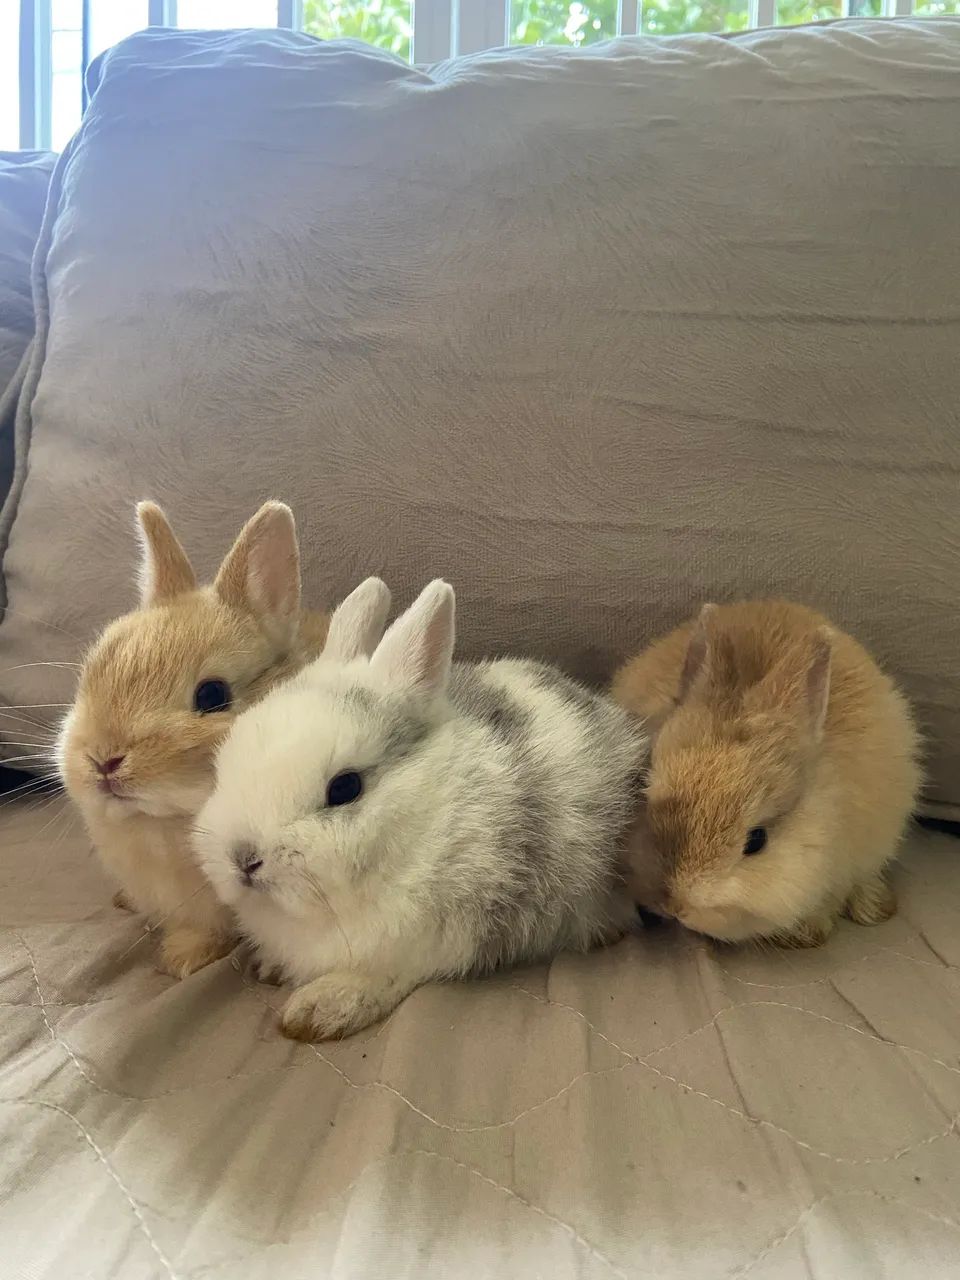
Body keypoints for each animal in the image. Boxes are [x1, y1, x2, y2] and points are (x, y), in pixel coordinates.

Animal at [194, 577, 647, 1041]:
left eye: (345, 788)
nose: (243, 859)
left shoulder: (429, 941)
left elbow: (386, 976)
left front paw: (322, 1008)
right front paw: (270, 967)